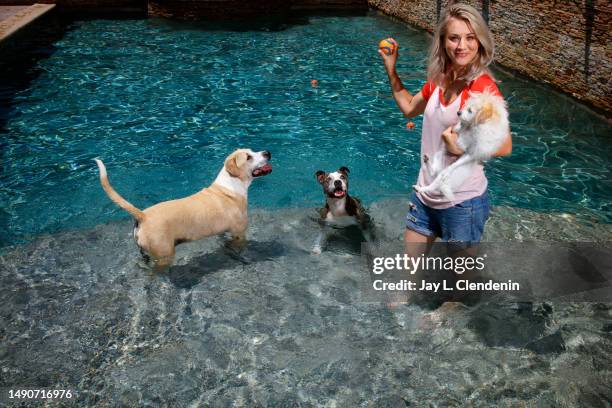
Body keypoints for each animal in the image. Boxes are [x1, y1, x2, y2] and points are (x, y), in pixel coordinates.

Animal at [94, 148, 272, 270]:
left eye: (252, 151)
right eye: (248, 157)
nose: (267, 152)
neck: (230, 185)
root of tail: (143, 215)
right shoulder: (239, 233)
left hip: (144, 251)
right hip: (164, 254)